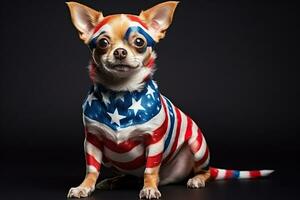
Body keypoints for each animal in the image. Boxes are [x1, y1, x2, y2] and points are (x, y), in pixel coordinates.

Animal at [66, 1, 274, 198]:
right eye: (103, 42)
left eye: (139, 42)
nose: (120, 52)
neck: (121, 95)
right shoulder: (92, 140)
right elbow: (92, 169)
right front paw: (84, 187)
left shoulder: (154, 139)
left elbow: (150, 170)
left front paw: (150, 188)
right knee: (130, 176)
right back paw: (115, 181)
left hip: (198, 146)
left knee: (203, 171)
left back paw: (196, 179)